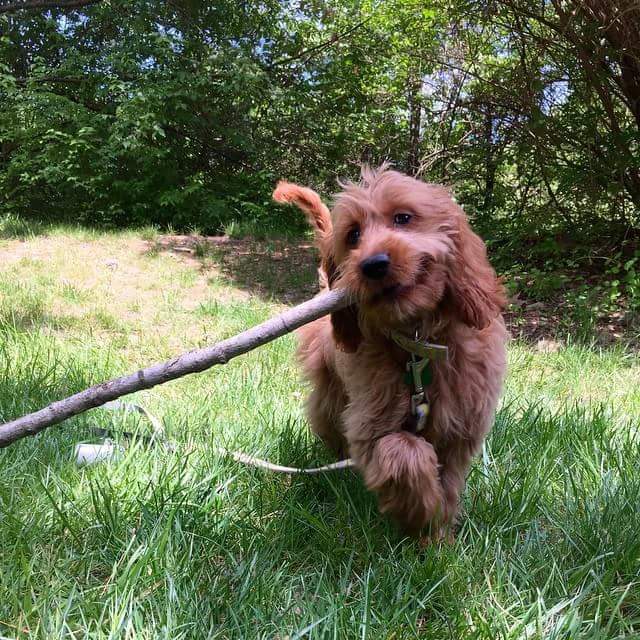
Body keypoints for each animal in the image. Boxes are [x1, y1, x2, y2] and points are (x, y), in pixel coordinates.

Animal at [272, 166, 508, 540]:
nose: (373, 264)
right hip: (332, 395)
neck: (417, 343)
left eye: (403, 218)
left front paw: (439, 536)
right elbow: (404, 453)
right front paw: (421, 517)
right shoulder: (370, 423)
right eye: (353, 235)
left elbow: (450, 482)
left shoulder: (461, 428)